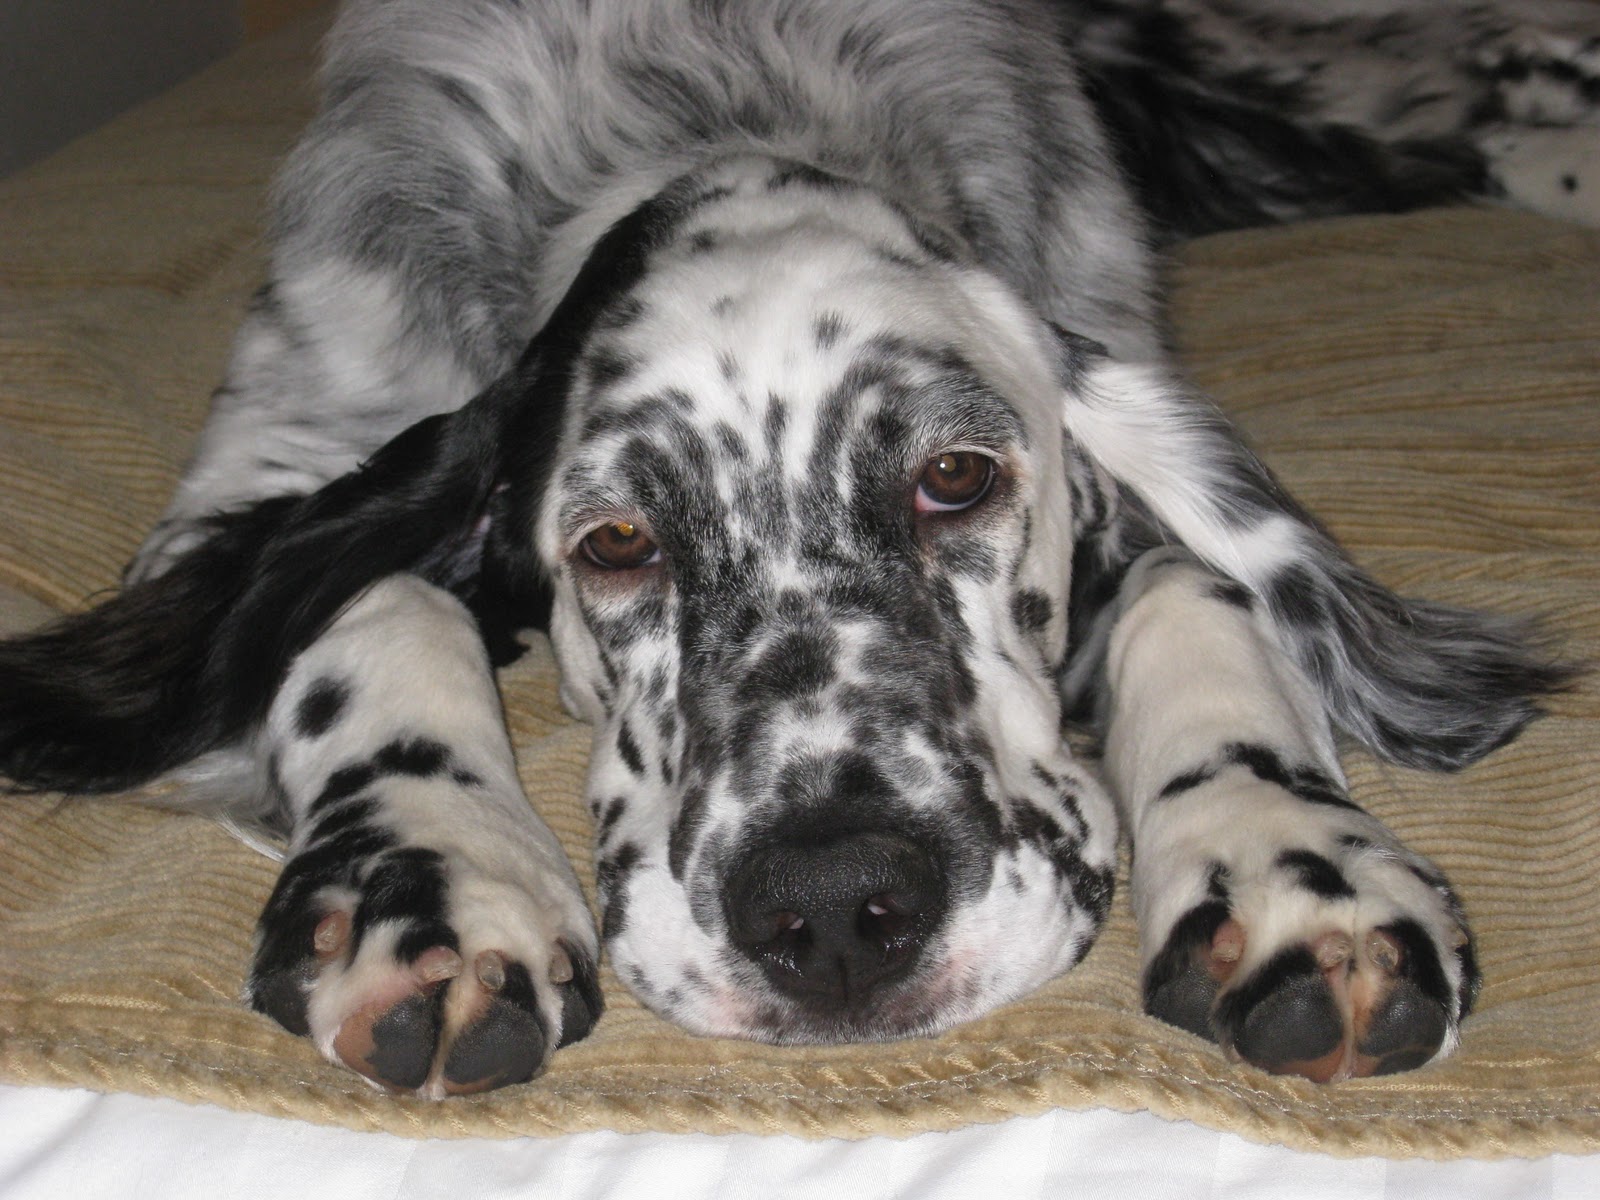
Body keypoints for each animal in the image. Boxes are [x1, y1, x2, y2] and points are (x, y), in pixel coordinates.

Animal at [0, 0, 1587, 1100]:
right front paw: (432, 870)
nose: (833, 912)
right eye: (618, 540)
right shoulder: (267, 461)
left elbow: (1197, 583)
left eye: (956, 476)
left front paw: (1286, 858)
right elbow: (367, 598)